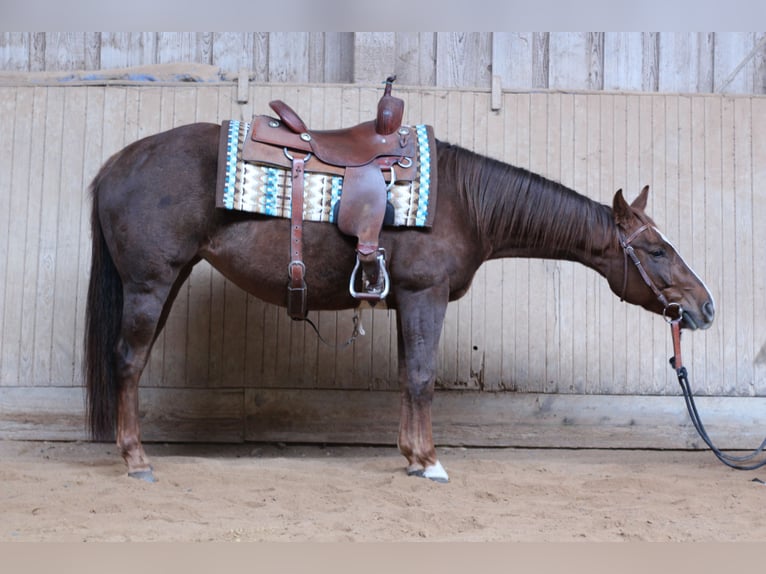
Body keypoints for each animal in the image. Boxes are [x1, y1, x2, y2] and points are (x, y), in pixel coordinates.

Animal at [84, 122, 716, 483]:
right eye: (656, 250)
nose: (706, 307)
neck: (466, 201)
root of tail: (116, 163)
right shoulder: (423, 297)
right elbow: (421, 377)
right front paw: (429, 462)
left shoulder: (402, 303)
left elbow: (407, 376)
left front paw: (411, 455)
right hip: (150, 284)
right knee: (129, 362)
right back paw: (136, 460)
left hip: (168, 281)